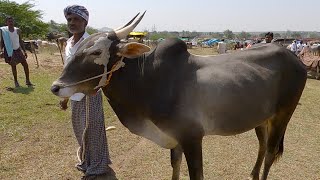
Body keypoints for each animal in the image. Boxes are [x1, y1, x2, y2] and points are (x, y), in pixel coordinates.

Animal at [50, 11, 308, 179]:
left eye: (96, 51)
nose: (56, 87)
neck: (149, 81)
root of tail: (294, 59)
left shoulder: (192, 138)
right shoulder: (173, 139)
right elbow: (174, 167)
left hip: (283, 115)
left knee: (271, 152)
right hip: (260, 118)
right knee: (262, 146)